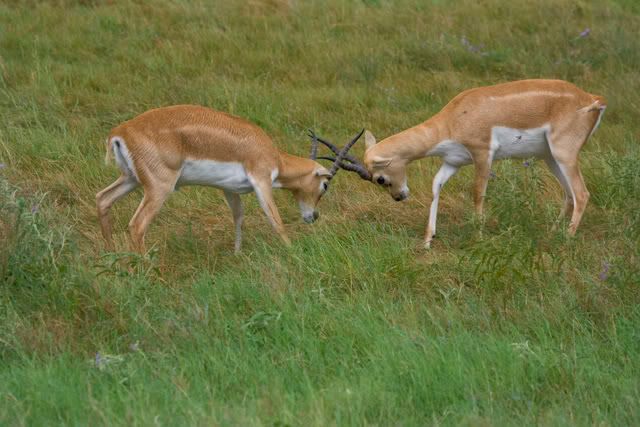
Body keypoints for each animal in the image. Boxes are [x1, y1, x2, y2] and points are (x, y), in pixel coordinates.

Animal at [97, 105, 362, 254]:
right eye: (325, 185)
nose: (312, 216)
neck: (271, 154)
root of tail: (120, 132)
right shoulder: (261, 181)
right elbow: (275, 221)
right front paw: (292, 251)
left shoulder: (230, 189)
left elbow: (238, 218)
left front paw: (237, 254)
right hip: (159, 188)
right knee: (137, 225)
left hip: (131, 179)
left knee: (102, 199)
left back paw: (111, 259)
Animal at [320, 79, 604, 247]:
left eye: (379, 178)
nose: (399, 196)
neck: (452, 119)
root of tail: (592, 99)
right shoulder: (453, 161)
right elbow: (436, 186)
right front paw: (427, 240)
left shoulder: (482, 153)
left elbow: (478, 193)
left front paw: (478, 237)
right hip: (550, 157)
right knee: (568, 194)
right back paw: (552, 234)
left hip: (564, 154)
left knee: (582, 193)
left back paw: (566, 239)